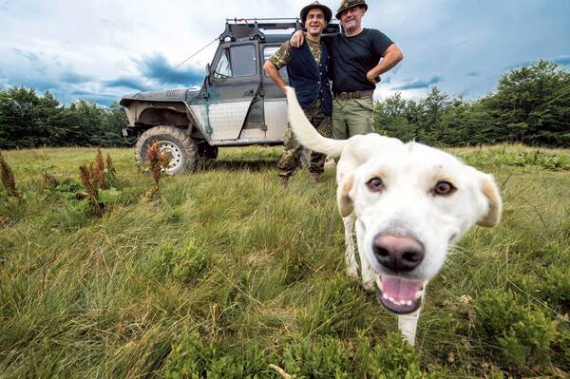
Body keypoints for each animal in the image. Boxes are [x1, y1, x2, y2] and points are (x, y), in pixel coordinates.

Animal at [286, 87, 500, 348]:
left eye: (444, 188)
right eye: (375, 183)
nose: (397, 251)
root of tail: (355, 138)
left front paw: (405, 348)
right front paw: (368, 278)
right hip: (347, 208)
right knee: (351, 232)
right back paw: (355, 270)